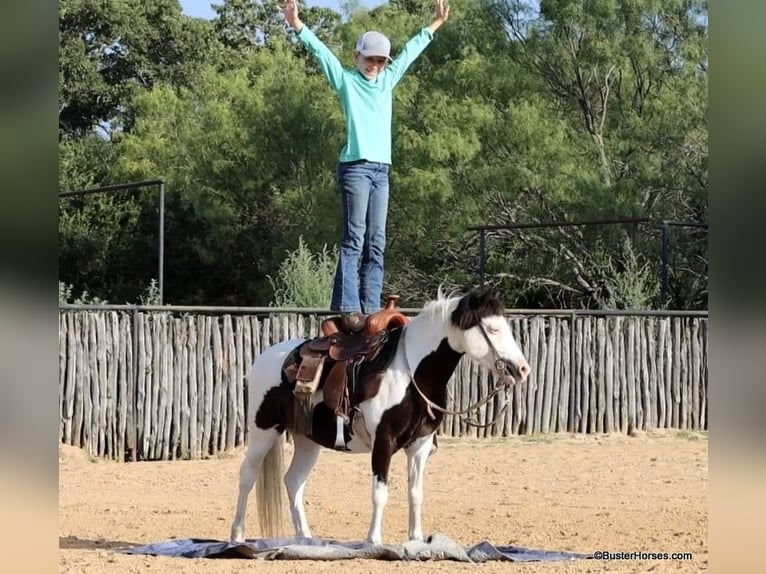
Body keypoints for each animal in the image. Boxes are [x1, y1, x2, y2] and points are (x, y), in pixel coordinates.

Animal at [228, 290, 532, 548]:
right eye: (492, 329)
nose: (522, 369)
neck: (412, 374)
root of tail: (264, 358)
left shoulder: (420, 445)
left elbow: (416, 493)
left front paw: (417, 539)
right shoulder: (383, 441)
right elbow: (380, 492)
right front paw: (373, 540)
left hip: (307, 440)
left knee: (293, 482)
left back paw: (305, 539)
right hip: (263, 431)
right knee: (247, 477)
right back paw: (237, 536)